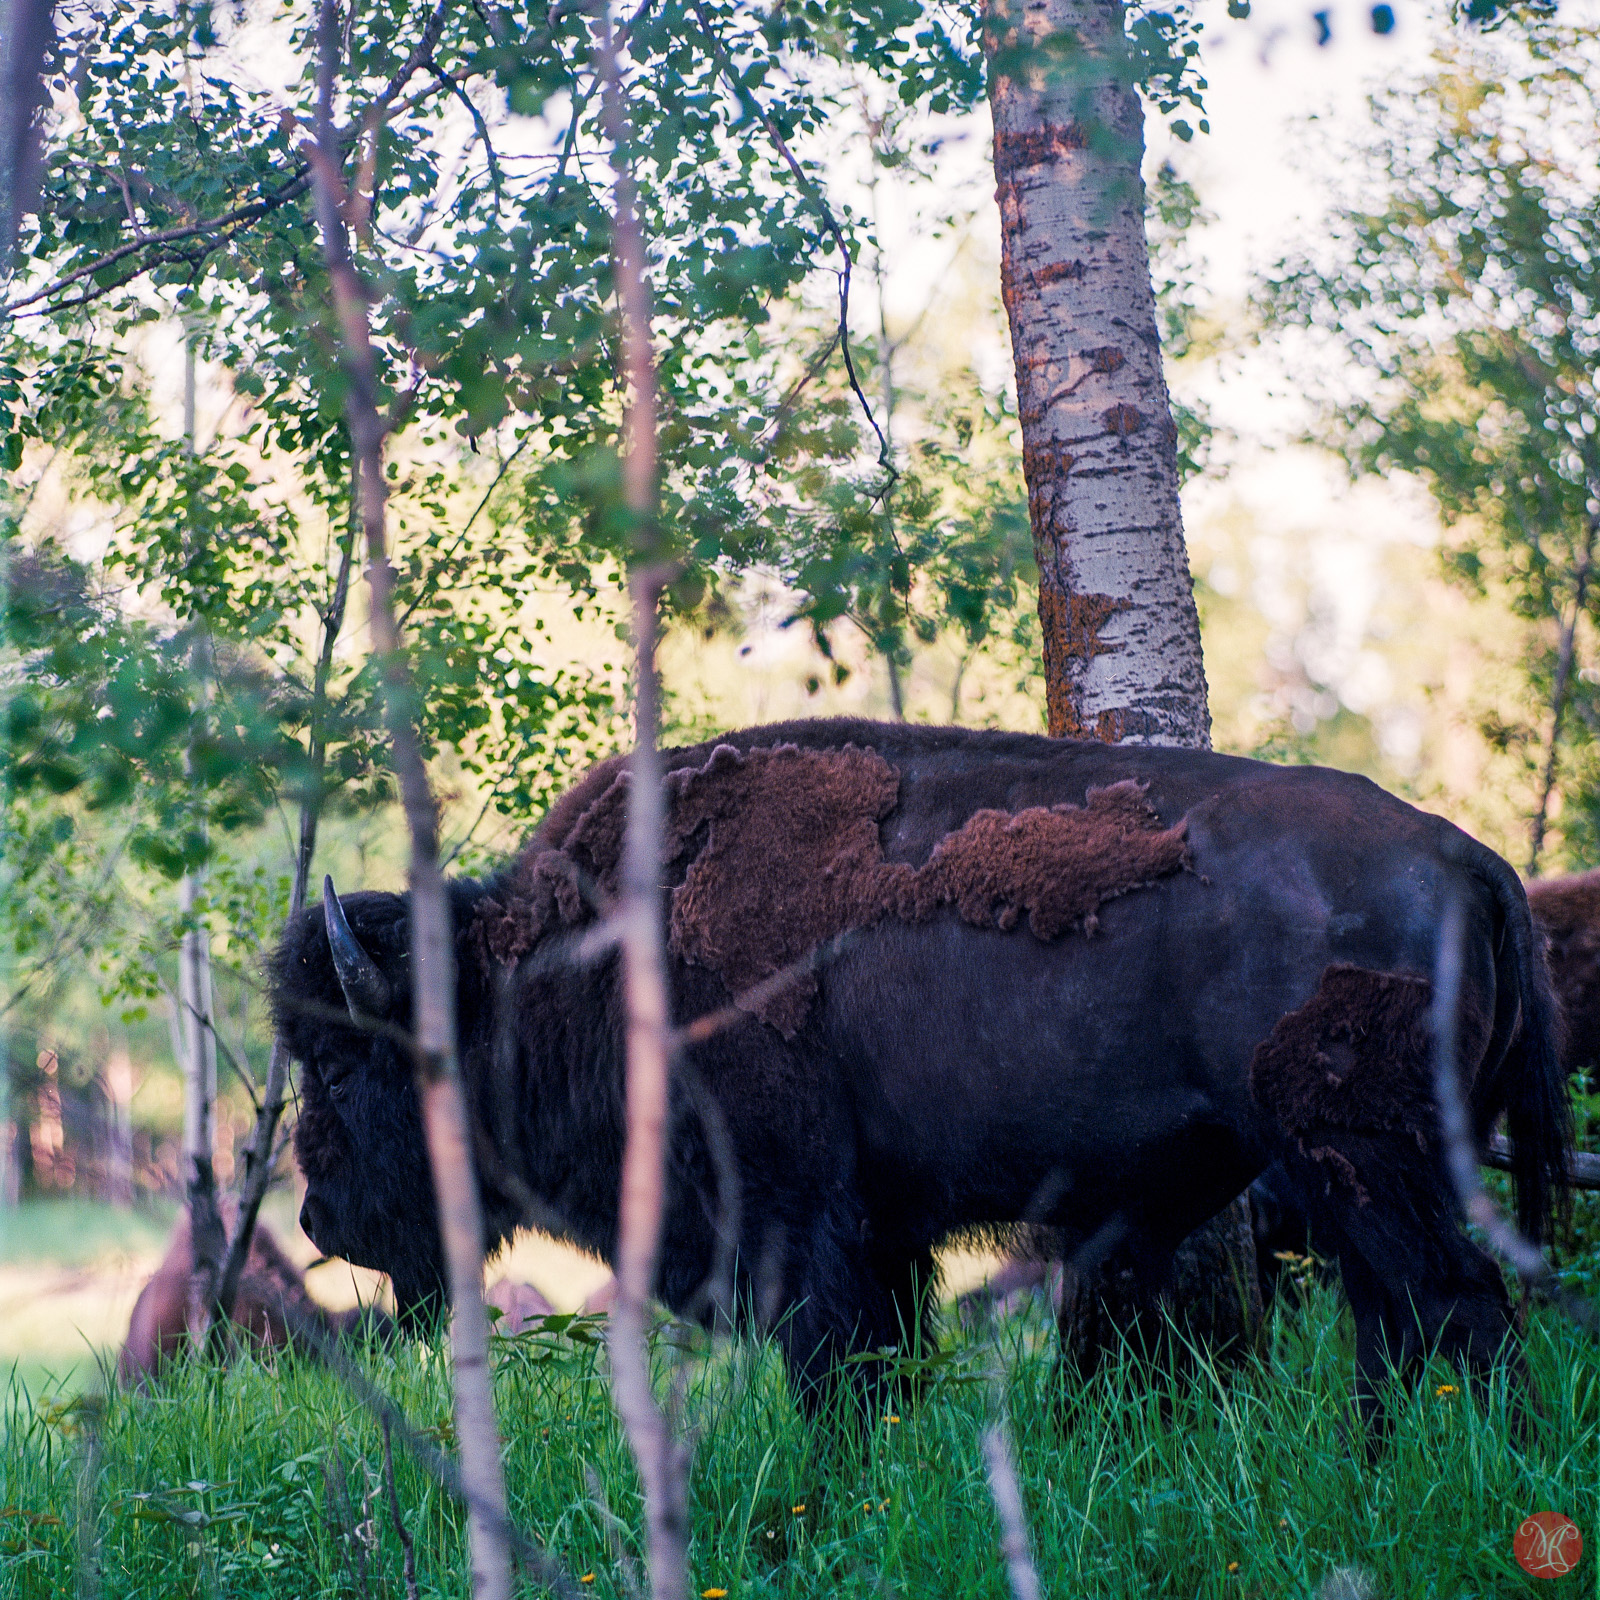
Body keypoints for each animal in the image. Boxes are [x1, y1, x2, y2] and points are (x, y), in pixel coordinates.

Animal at [271, 718, 1570, 1416]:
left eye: (339, 1060)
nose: (322, 1217)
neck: (574, 965)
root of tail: (1466, 857)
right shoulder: (884, 1235)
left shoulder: (804, 1225)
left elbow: (836, 1376)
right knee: (1398, 1324)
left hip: (1361, 1162)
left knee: (1449, 1309)